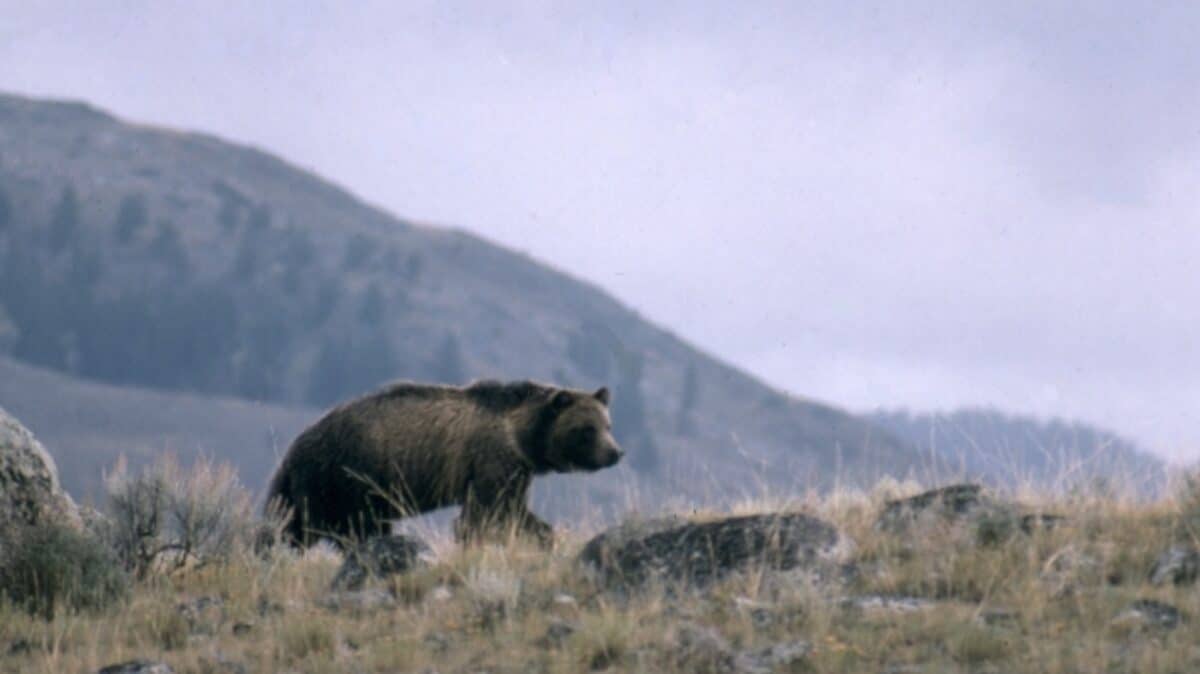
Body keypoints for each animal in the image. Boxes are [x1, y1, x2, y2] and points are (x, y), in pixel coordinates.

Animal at [265, 380, 623, 548]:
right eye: (586, 429)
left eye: (608, 425)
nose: (615, 453)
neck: (522, 437)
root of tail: (295, 446)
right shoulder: (490, 461)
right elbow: (488, 512)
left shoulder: (516, 472)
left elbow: (513, 510)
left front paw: (545, 535)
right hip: (344, 478)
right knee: (330, 528)